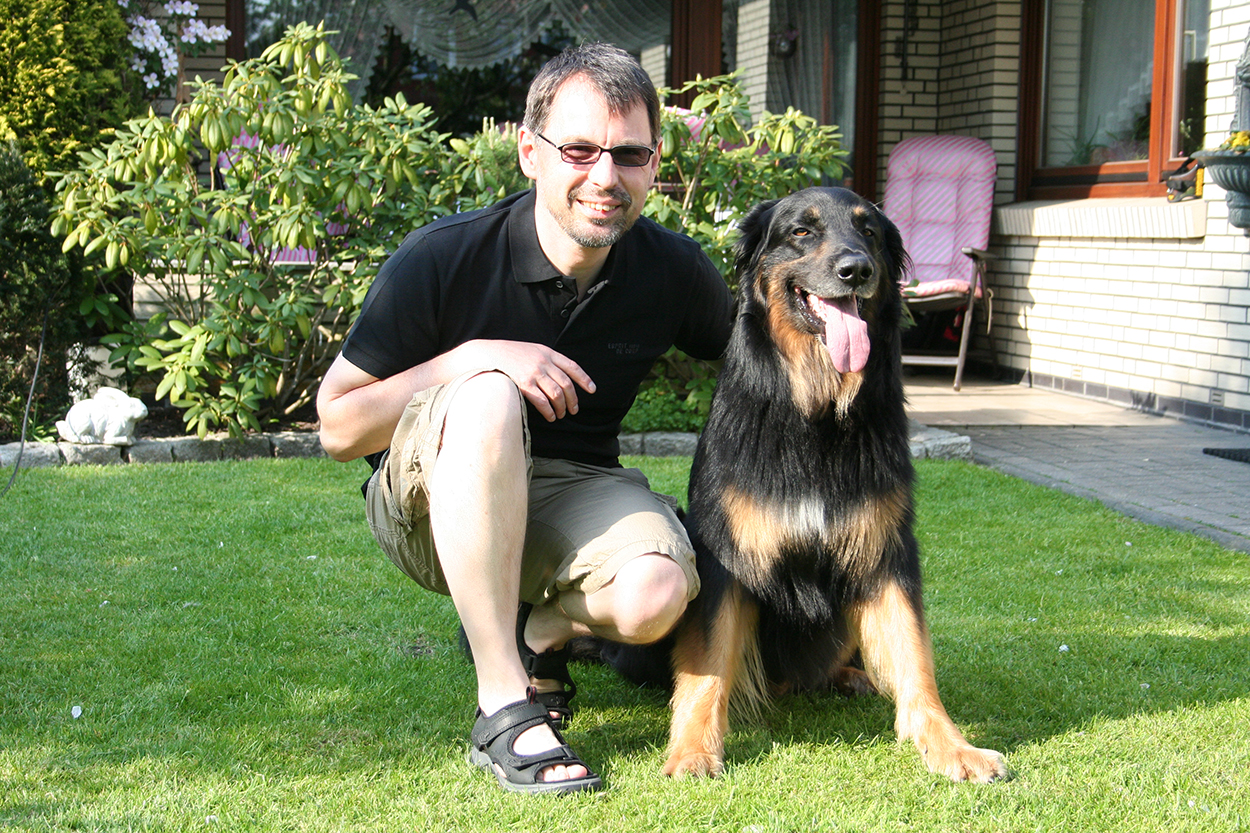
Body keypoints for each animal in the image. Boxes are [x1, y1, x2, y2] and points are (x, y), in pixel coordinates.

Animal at [613, 187, 1007, 783]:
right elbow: (706, 666)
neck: (814, 414)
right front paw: (693, 749)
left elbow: (914, 653)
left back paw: (853, 676)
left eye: (869, 232)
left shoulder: (886, 550)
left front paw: (950, 744)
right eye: (801, 231)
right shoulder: (724, 555)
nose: (856, 270)